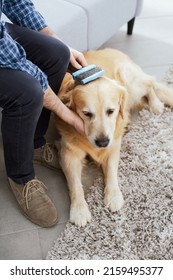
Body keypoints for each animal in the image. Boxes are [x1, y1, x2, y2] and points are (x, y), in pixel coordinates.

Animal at [54, 48, 173, 226]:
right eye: (86, 114)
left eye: (111, 111)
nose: (102, 142)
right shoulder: (69, 153)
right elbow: (75, 184)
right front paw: (79, 210)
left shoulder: (113, 146)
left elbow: (111, 170)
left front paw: (113, 195)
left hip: (129, 81)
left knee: (150, 84)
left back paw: (156, 105)